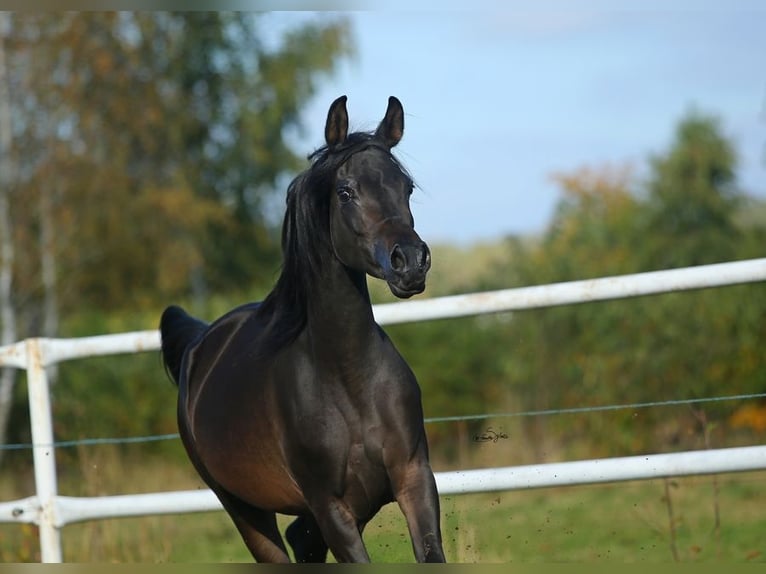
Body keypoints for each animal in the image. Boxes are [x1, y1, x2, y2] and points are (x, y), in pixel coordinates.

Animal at [160, 95, 448, 564]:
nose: (410, 261)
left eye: (406, 188)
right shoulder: (331, 508)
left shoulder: (414, 480)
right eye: (346, 192)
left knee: (300, 540)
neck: (348, 382)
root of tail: (198, 344)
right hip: (243, 509)